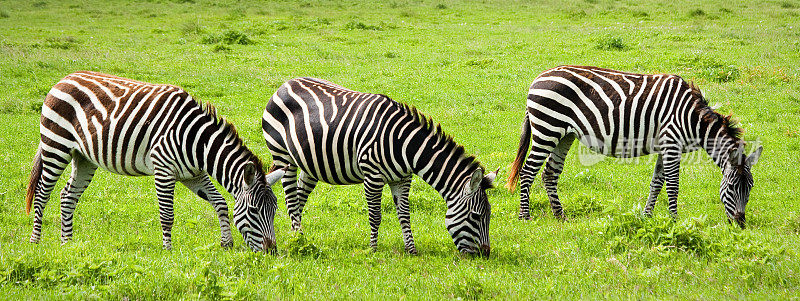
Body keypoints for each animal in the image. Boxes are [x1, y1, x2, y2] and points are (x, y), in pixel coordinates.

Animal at [25, 71, 284, 250]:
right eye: (253, 210)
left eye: (274, 210)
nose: (271, 251)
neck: (198, 142)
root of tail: (63, 79)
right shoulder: (164, 170)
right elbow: (167, 215)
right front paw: (168, 250)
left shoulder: (193, 175)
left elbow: (220, 203)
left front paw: (226, 244)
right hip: (56, 146)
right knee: (42, 194)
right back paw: (35, 241)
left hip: (84, 157)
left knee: (67, 196)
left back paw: (67, 243)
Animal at [260, 77, 494, 255]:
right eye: (476, 216)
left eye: (489, 215)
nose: (485, 255)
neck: (404, 145)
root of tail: (286, 83)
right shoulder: (372, 176)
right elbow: (375, 215)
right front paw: (372, 249)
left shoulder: (402, 179)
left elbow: (404, 214)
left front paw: (411, 250)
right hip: (283, 156)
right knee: (291, 199)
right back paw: (298, 239)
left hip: (310, 163)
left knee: (299, 197)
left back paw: (298, 236)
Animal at [506, 64, 764, 226]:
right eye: (731, 187)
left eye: (750, 188)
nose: (740, 225)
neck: (692, 118)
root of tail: (537, 79)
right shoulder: (672, 143)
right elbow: (673, 186)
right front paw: (674, 220)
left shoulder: (665, 146)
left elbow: (656, 183)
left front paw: (648, 216)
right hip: (547, 129)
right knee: (528, 172)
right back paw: (524, 217)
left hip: (563, 135)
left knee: (549, 173)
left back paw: (560, 216)